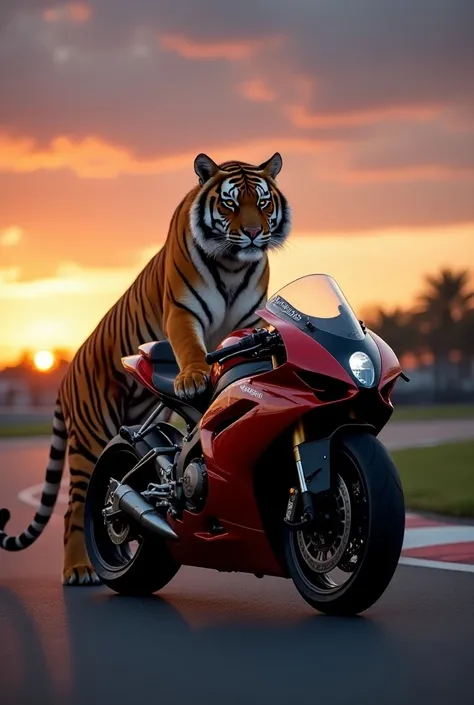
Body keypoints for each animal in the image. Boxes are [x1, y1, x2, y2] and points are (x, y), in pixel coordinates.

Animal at [0, 148, 290, 584]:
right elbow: (189, 346)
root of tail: (64, 378)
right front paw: (193, 379)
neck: (234, 265)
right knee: (79, 506)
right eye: (229, 203)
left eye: (263, 202)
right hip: (91, 439)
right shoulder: (182, 310)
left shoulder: (252, 319)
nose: (255, 233)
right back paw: (81, 569)